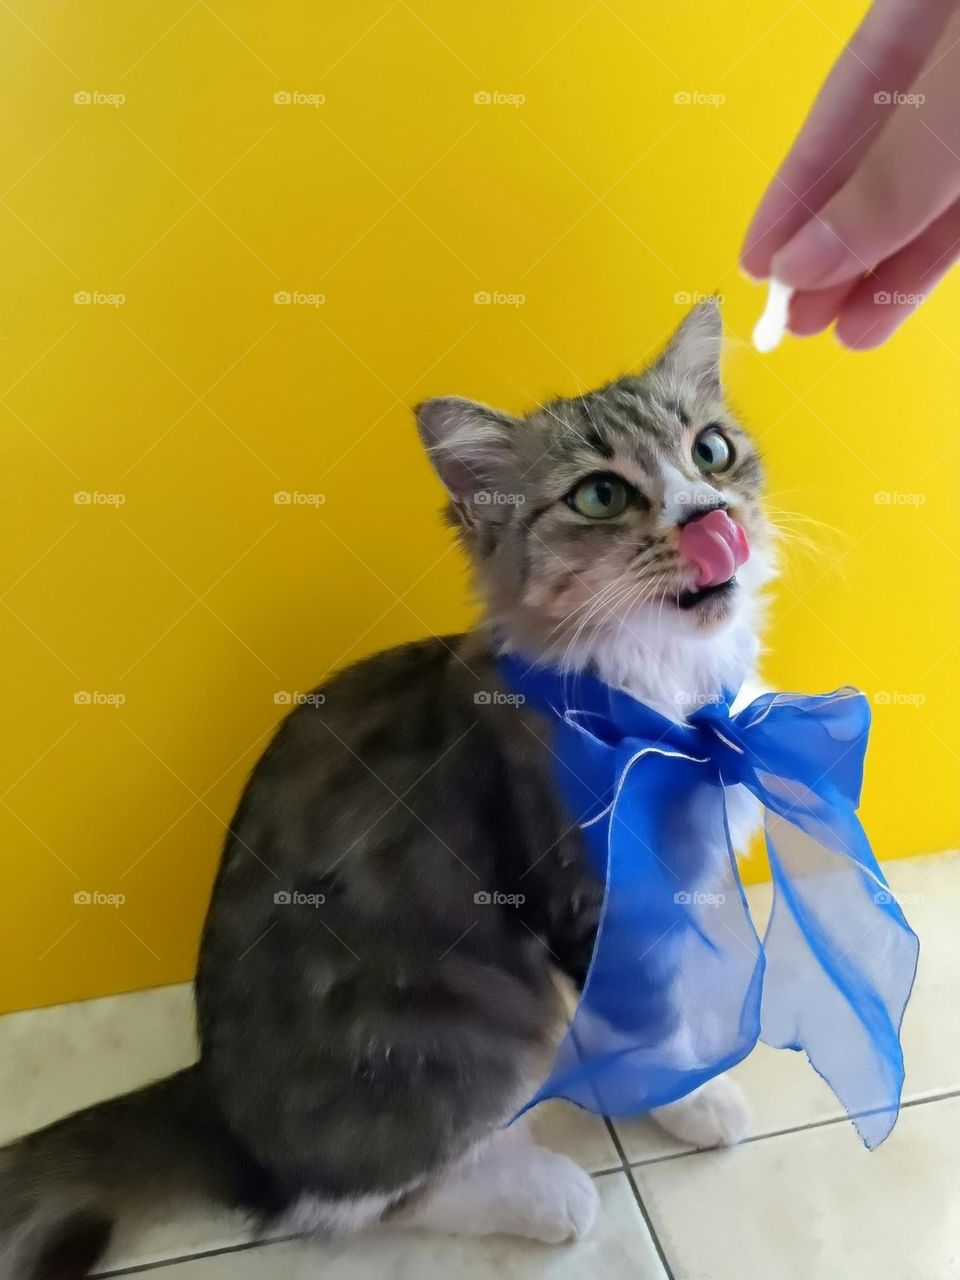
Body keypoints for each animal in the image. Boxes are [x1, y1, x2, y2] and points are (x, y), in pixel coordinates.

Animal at [0, 294, 778, 1274]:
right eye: (600, 494)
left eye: (711, 451)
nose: (709, 515)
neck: (663, 688)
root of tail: (216, 1109)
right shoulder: (580, 892)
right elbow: (641, 1017)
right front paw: (690, 1097)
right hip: (468, 1024)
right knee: (340, 1204)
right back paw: (546, 1196)